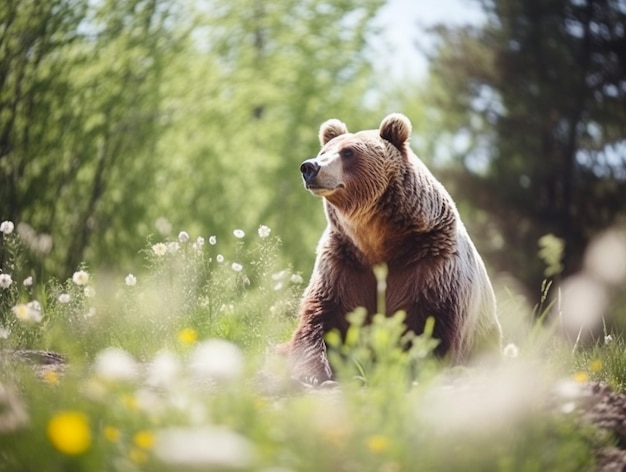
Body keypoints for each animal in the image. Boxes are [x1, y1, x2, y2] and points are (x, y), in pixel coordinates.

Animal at [286, 114, 500, 384]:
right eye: (323, 151)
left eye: (348, 152)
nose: (310, 167)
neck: (378, 238)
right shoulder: (344, 262)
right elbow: (322, 318)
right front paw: (312, 372)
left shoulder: (430, 262)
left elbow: (432, 326)